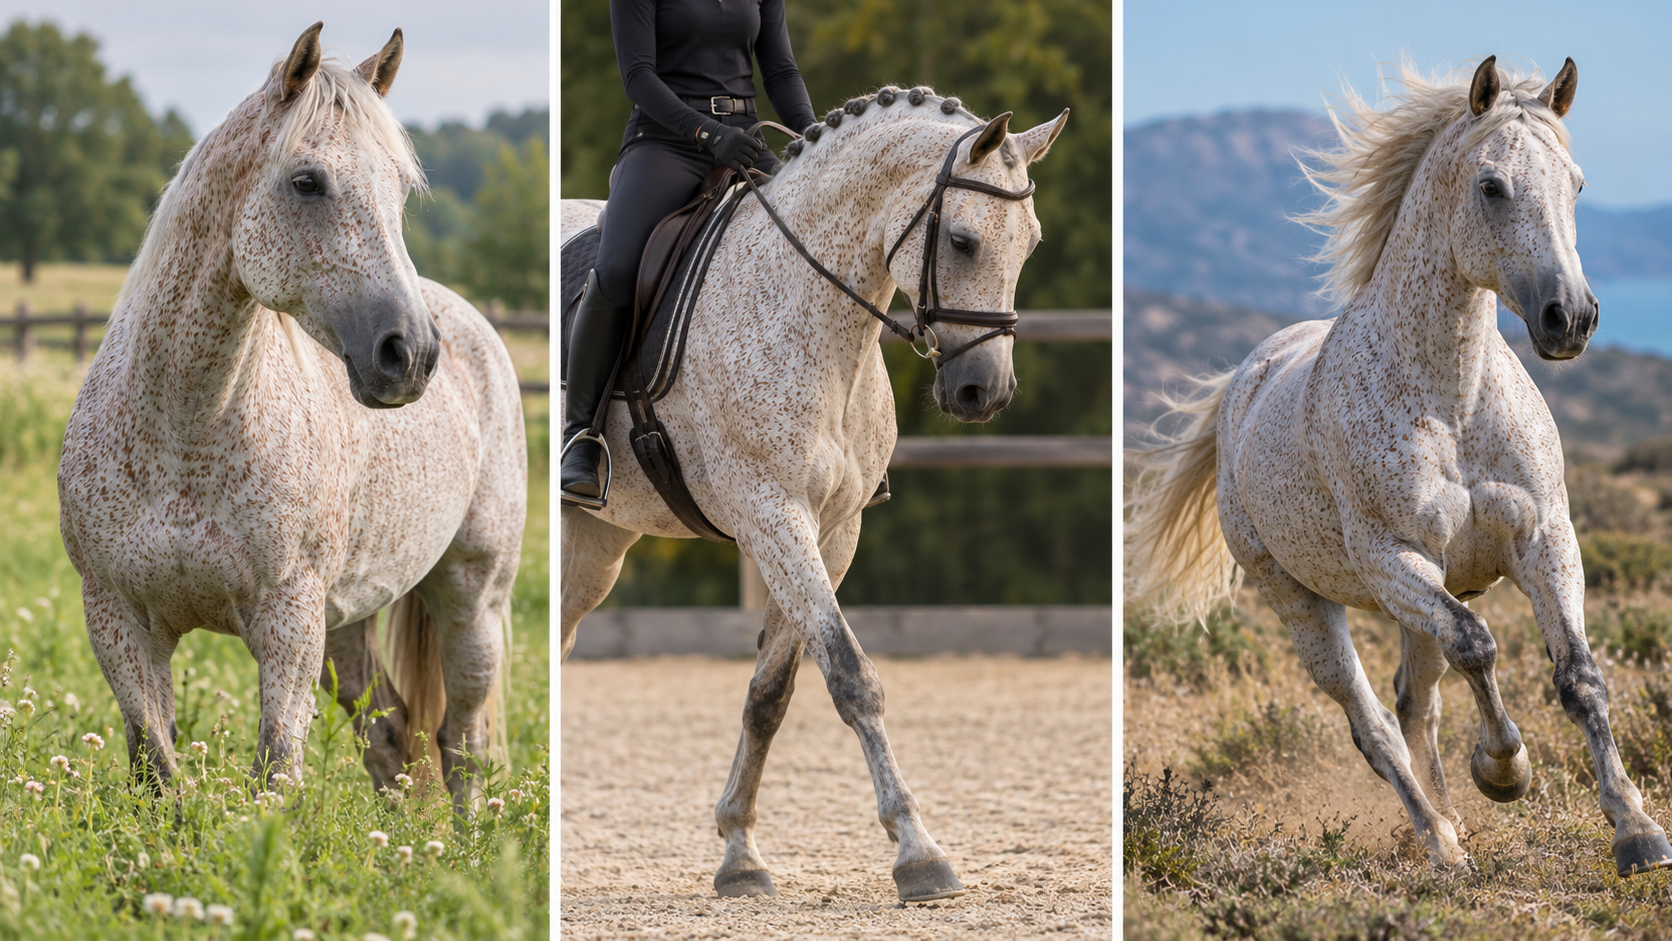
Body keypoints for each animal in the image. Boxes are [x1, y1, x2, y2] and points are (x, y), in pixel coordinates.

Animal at [56, 23, 525, 814]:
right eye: (306, 181)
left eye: (400, 190)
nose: (411, 354)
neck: (183, 436)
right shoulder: (120, 622)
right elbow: (157, 771)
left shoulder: (287, 625)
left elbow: (276, 773)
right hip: (349, 623)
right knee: (392, 731)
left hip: (471, 599)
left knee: (464, 743)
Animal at [560, 88, 1068, 901]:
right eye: (961, 241)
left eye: (1031, 243)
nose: (983, 392)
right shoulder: (773, 517)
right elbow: (852, 677)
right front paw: (920, 853)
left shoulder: (832, 531)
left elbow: (772, 693)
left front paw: (740, 854)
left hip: (596, 541)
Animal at [1127, 56, 1672, 878]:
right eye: (1491, 186)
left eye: (1576, 184)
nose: (1570, 318)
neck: (1453, 400)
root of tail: (1245, 380)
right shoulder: (1393, 561)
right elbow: (1479, 643)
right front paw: (1505, 769)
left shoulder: (1546, 540)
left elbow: (1579, 678)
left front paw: (1637, 831)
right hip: (1303, 602)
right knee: (1376, 719)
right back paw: (1440, 842)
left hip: (1422, 595)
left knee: (1417, 699)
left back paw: (1451, 818)